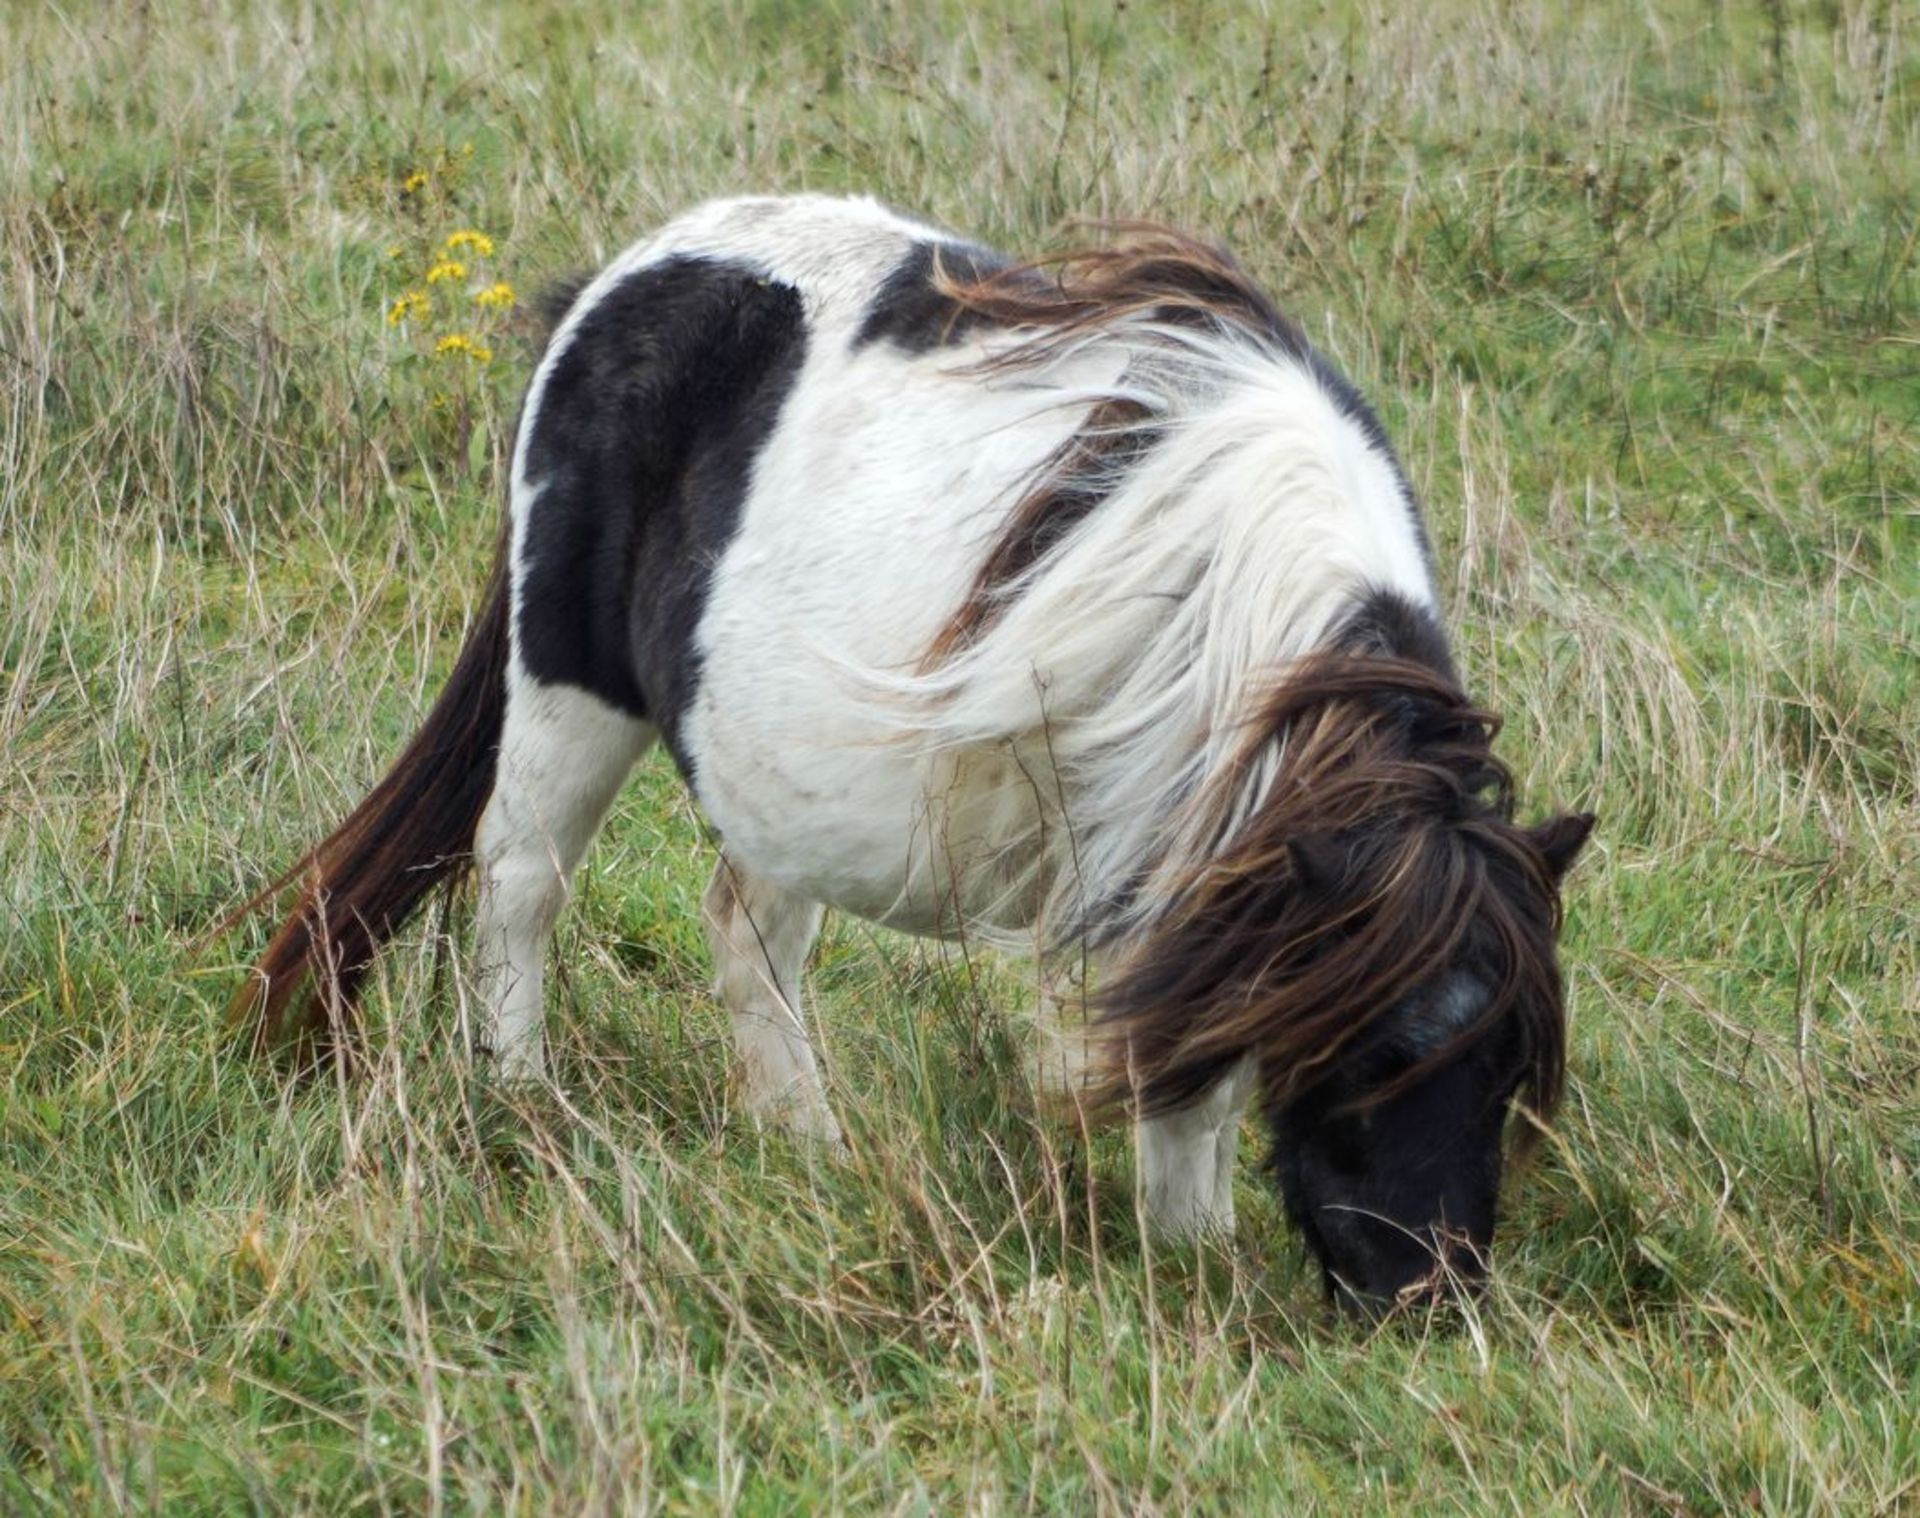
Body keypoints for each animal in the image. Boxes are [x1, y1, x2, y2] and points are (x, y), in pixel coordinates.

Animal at [240, 198, 1589, 1320]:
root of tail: (618, 282)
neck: (1252, 609)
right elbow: (1184, 1074)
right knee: (521, 883)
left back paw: (809, 1148)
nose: (1427, 1299)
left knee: (749, 935)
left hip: (771, 776)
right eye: (1385, 1053)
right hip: (570, 689)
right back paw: (519, 1100)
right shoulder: (1159, 869)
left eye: (1515, 1070)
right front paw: (1188, 1258)